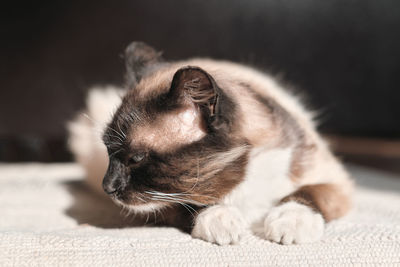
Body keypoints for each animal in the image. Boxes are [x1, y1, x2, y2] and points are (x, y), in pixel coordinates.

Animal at [69, 41, 354, 245]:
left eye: (136, 159)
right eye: (108, 151)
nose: (108, 187)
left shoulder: (335, 182)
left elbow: (307, 194)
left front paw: (289, 224)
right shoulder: (163, 207)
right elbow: (196, 206)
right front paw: (222, 222)